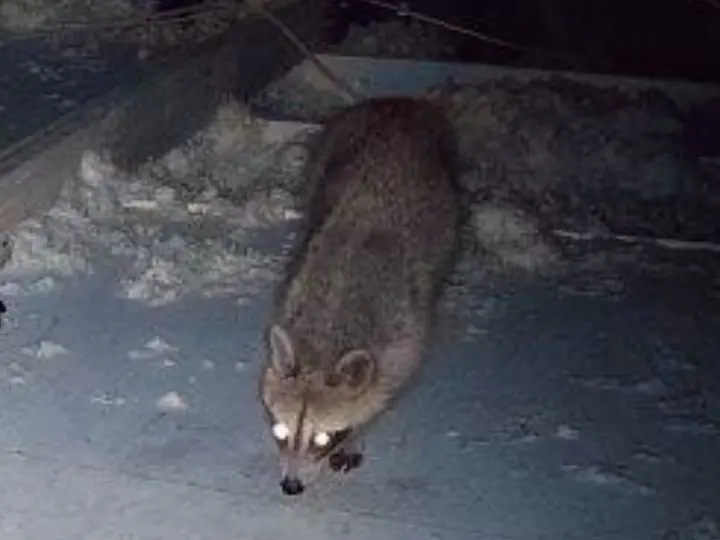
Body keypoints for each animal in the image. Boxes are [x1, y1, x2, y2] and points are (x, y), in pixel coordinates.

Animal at [259, 97, 460, 496]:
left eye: (324, 438)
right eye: (280, 430)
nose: (291, 486)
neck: (326, 338)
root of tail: (399, 104)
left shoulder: (403, 338)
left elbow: (386, 389)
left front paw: (357, 434)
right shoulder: (296, 285)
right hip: (328, 153)